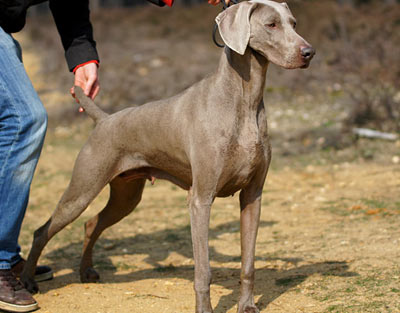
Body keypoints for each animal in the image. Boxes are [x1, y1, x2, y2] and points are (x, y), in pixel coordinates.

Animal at [21, 1, 314, 310]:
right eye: (271, 24)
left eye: (293, 23)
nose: (309, 52)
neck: (244, 99)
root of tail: (104, 119)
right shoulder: (200, 199)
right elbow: (204, 270)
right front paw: (204, 309)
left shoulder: (252, 195)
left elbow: (248, 263)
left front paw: (247, 306)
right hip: (83, 188)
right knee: (43, 231)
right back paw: (27, 281)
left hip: (127, 195)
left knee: (91, 223)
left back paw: (86, 271)